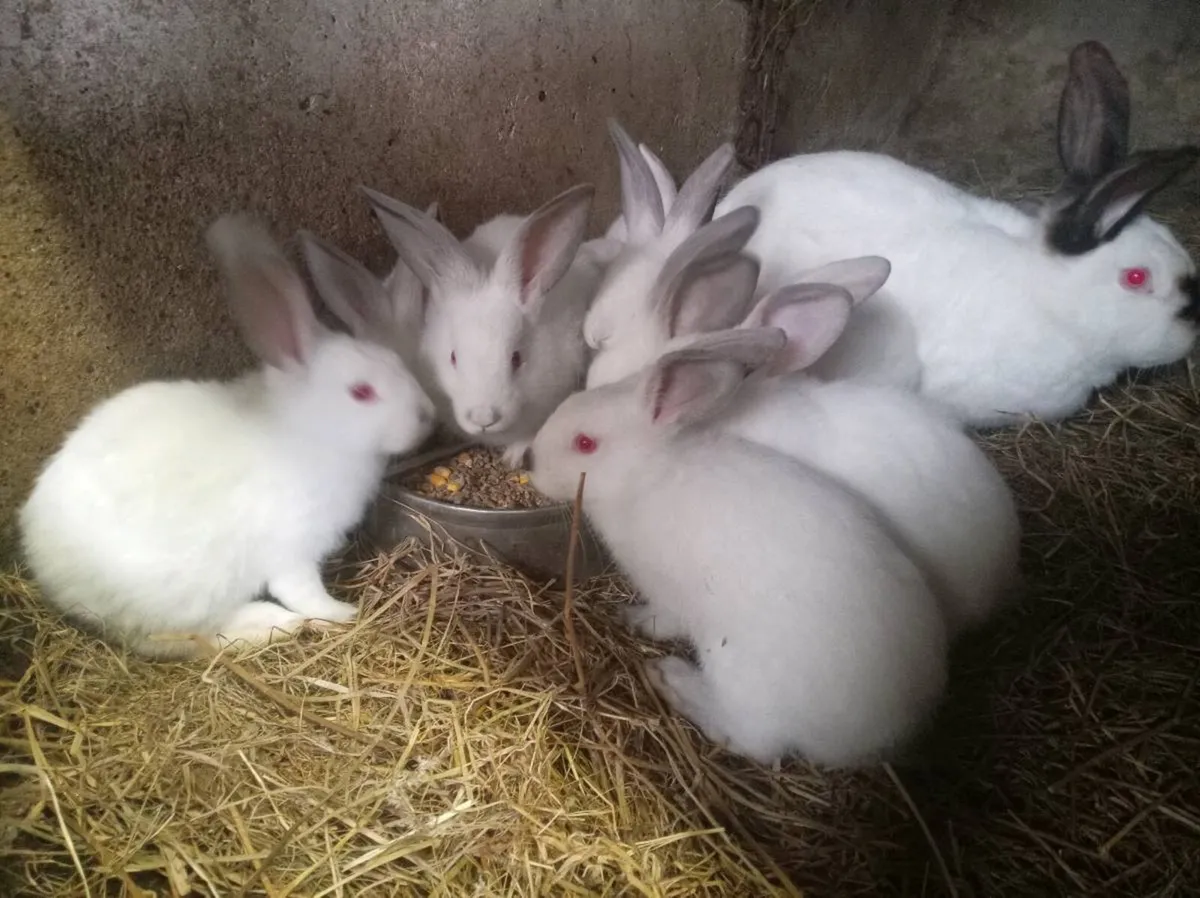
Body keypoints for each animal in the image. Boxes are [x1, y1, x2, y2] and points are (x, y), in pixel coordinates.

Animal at [18, 214, 436, 660]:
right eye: (361, 392)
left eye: (397, 362)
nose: (428, 415)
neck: (309, 431)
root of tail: (43, 561)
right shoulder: (291, 547)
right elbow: (303, 591)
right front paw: (343, 613)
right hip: (186, 594)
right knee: (187, 637)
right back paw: (275, 624)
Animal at [528, 327, 948, 766]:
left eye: (585, 443)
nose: (530, 461)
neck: (644, 475)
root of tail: (880, 736)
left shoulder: (666, 593)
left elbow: (664, 619)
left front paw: (633, 620)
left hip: (735, 669)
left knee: (751, 740)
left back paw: (672, 680)